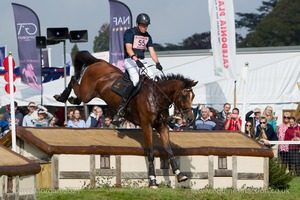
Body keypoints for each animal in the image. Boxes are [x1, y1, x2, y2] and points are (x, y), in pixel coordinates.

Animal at [54, 50, 198, 188]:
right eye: (184, 97)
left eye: (193, 96)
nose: (190, 119)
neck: (156, 97)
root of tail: (99, 61)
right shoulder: (146, 126)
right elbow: (151, 152)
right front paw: (152, 181)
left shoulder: (162, 126)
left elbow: (169, 150)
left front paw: (180, 175)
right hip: (87, 93)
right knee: (74, 80)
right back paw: (62, 96)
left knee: (77, 91)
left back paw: (72, 99)